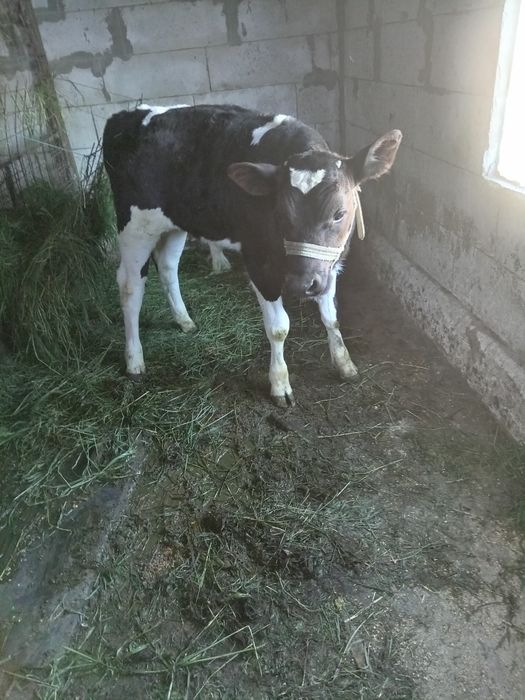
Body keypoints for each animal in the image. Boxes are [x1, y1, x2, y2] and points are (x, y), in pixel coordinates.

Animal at [102, 103, 401, 407]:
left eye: (339, 213)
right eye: (278, 213)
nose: (300, 285)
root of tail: (126, 113)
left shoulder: (330, 266)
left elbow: (332, 316)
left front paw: (344, 363)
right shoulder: (259, 262)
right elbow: (279, 327)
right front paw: (280, 384)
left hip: (174, 223)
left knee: (167, 267)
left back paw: (185, 321)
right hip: (135, 225)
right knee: (130, 287)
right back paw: (134, 360)